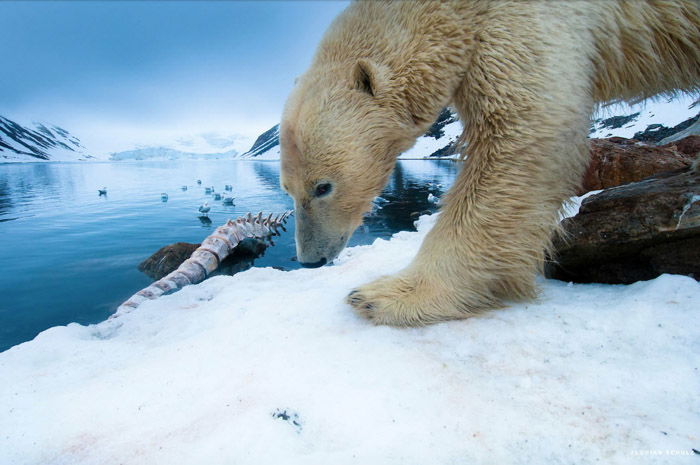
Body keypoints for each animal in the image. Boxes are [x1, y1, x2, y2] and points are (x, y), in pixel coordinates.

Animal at [278, 0, 700, 324]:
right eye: (288, 189)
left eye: (323, 187)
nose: (310, 260)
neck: (451, 9)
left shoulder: (525, 18)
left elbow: (521, 133)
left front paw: (386, 296)